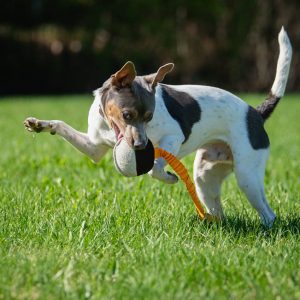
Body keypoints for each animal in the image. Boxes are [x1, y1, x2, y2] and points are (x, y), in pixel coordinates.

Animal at [24, 28, 292, 227]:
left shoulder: (173, 137)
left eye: (150, 116)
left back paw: (266, 230)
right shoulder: (94, 149)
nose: (141, 145)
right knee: (216, 206)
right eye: (127, 115)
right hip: (206, 176)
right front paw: (39, 124)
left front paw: (168, 177)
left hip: (247, 176)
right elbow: (61, 126)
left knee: (268, 214)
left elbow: (155, 167)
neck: (110, 128)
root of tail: (255, 113)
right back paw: (215, 223)